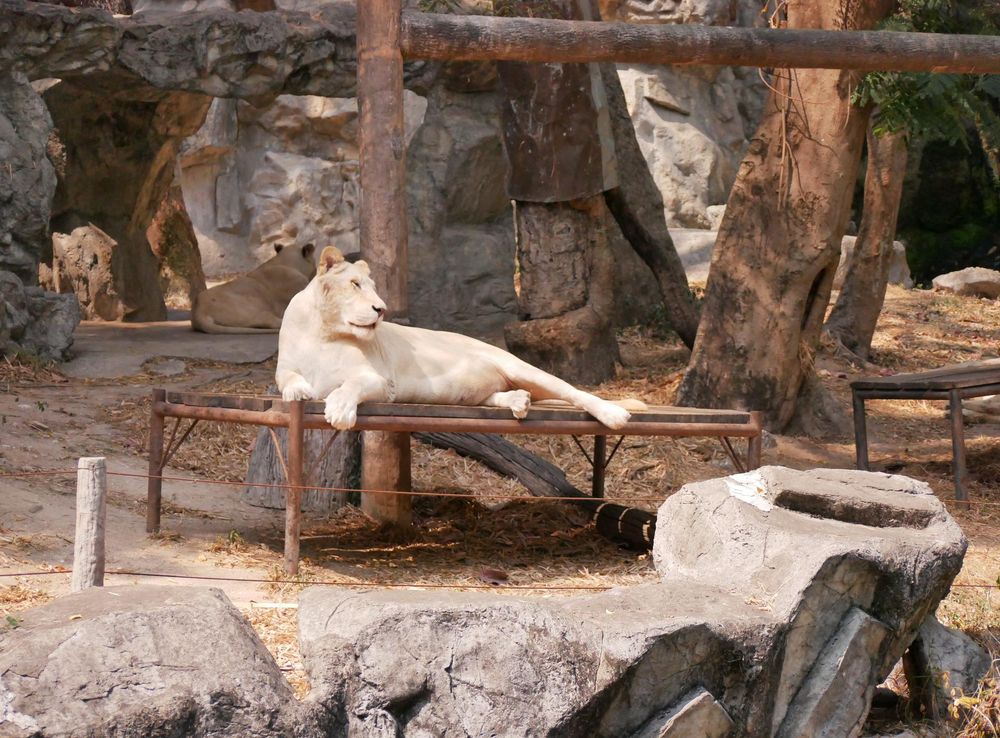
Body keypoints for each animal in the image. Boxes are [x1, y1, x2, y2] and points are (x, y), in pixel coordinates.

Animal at [276, 246, 641, 430]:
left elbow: (349, 386)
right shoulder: (285, 366)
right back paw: (517, 401)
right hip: (485, 390)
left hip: (519, 366)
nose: (381, 309)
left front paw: (339, 411)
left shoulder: (379, 381)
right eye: (354, 284)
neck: (322, 332)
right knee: (501, 395)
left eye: (374, 288)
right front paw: (298, 391)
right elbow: (287, 379)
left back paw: (614, 414)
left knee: (574, 392)